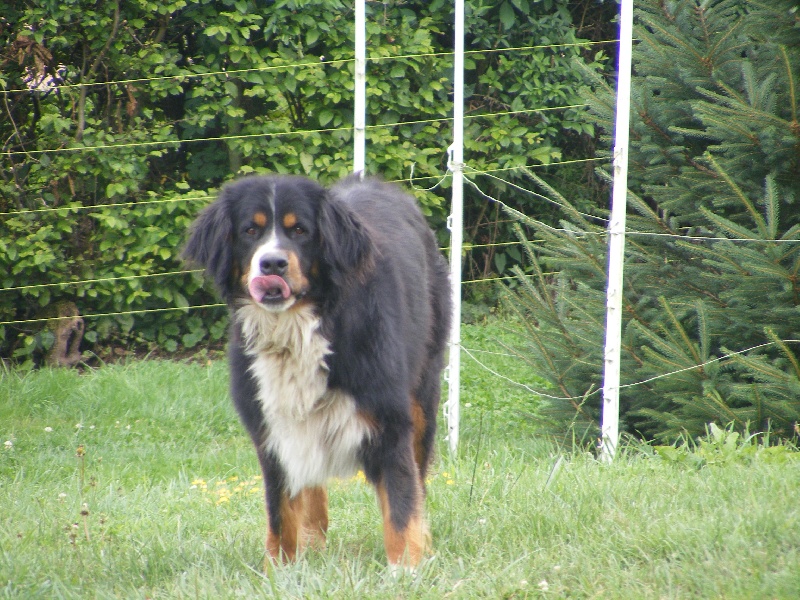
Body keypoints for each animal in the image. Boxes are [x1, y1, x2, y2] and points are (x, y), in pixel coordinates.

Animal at [184, 173, 454, 568]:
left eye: (300, 231)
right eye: (250, 230)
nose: (272, 264)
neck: (299, 328)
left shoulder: (389, 419)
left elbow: (402, 504)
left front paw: (406, 567)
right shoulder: (269, 426)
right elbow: (280, 511)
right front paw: (279, 569)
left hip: (424, 393)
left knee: (418, 476)